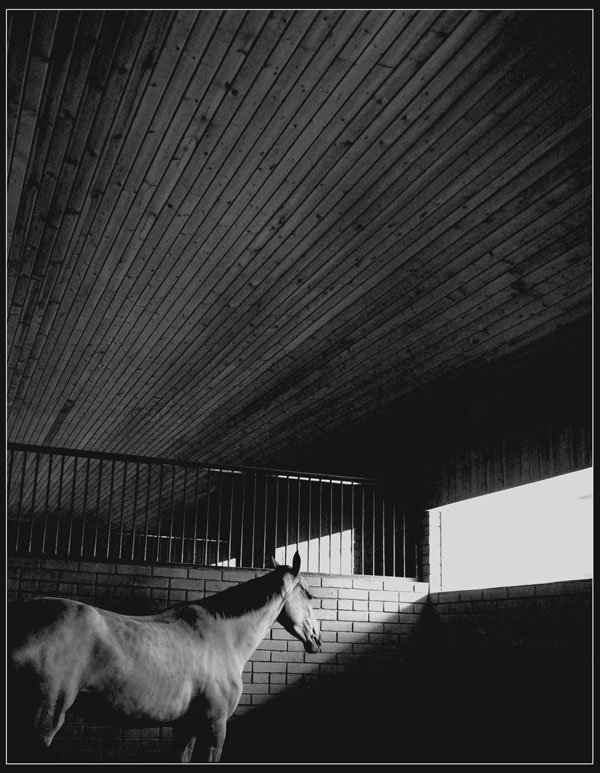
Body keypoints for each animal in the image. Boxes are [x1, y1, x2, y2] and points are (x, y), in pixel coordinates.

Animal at [8, 552, 321, 763]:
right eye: (308, 594)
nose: (317, 639)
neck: (223, 635)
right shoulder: (215, 726)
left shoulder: (186, 726)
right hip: (42, 721)